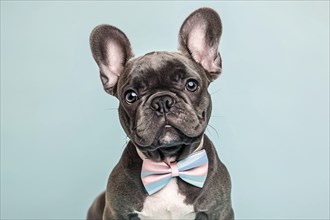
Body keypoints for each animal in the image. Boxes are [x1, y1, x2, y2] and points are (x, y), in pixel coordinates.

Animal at [86, 7, 233, 220]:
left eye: (191, 84)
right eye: (130, 96)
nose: (162, 102)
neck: (170, 165)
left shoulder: (220, 211)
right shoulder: (115, 212)